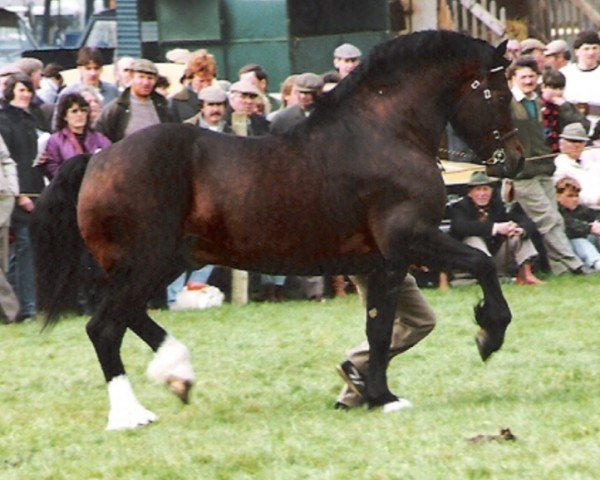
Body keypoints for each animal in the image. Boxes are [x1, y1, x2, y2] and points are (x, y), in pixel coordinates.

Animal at [30, 31, 524, 432]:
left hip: (162, 263)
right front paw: (488, 335)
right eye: (500, 93)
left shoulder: (385, 262)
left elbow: (379, 330)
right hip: (146, 264)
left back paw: (177, 376)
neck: (386, 134)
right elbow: (482, 263)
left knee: (128, 318)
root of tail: (97, 159)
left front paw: (378, 396)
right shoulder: (412, 239)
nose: (517, 160)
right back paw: (131, 414)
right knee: (104, 327)